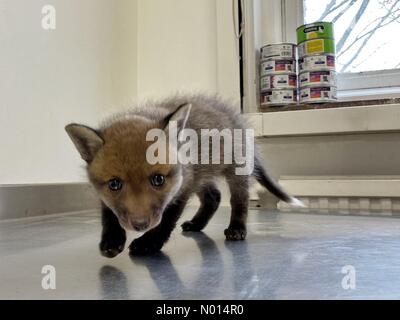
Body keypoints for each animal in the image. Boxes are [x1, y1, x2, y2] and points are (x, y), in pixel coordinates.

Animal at [65, 95, 300, 258]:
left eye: (158, 179)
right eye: (114, 184)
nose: (140, 225)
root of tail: (236, 118)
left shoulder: (181, 188)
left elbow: (166, 221)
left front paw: (149, 242)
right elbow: (109, 214)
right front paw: (112, 240)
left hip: (233, 172)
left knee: (238, 200)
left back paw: (236, 228)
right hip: (201, 175)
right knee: (214, 197)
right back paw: (197, 224)